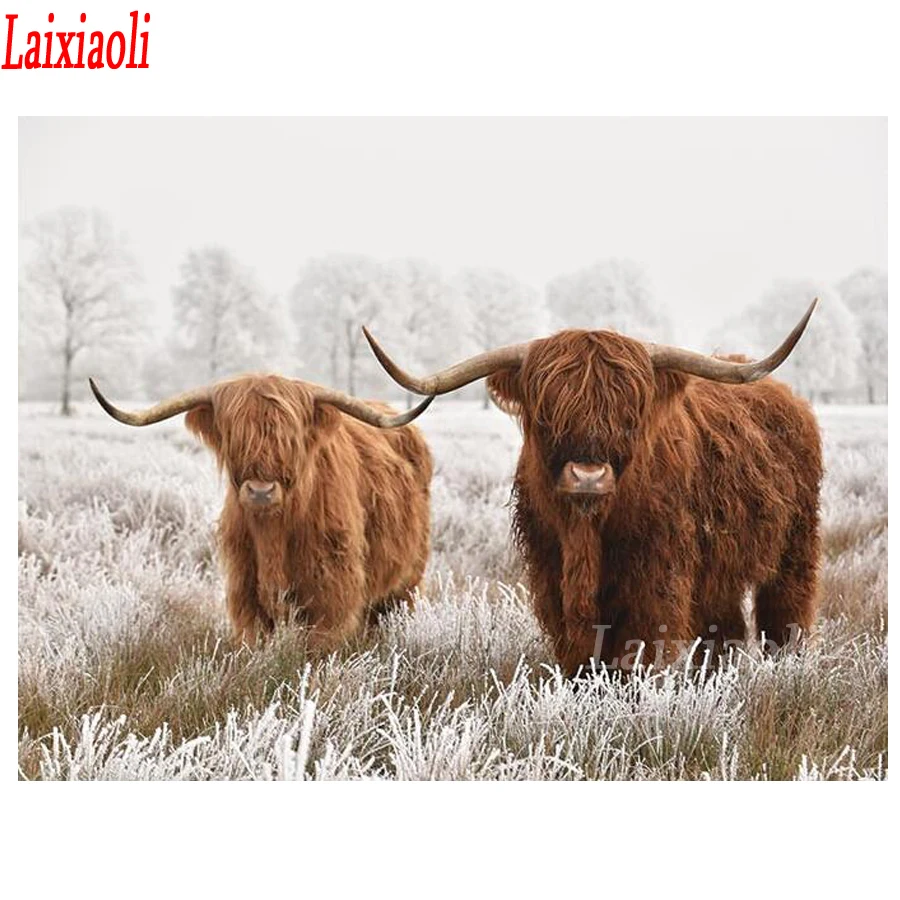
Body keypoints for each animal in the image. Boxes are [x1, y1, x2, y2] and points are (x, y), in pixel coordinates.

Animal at [90, 374, 435, 652]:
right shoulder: (246, 595)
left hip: (406, 582)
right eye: (235, 437)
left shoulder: (331, 597)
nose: (260, 491)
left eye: (290, 439)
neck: (274, 533)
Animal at [362, 301, 822, 675]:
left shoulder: (656, 579)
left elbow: (638, 653)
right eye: (547, 413)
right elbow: (580, 654)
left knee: (784, 616)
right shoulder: (551, 574)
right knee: (724, 631)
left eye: (629, 415)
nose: (587, 476)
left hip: (795, 549)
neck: (587, 533)